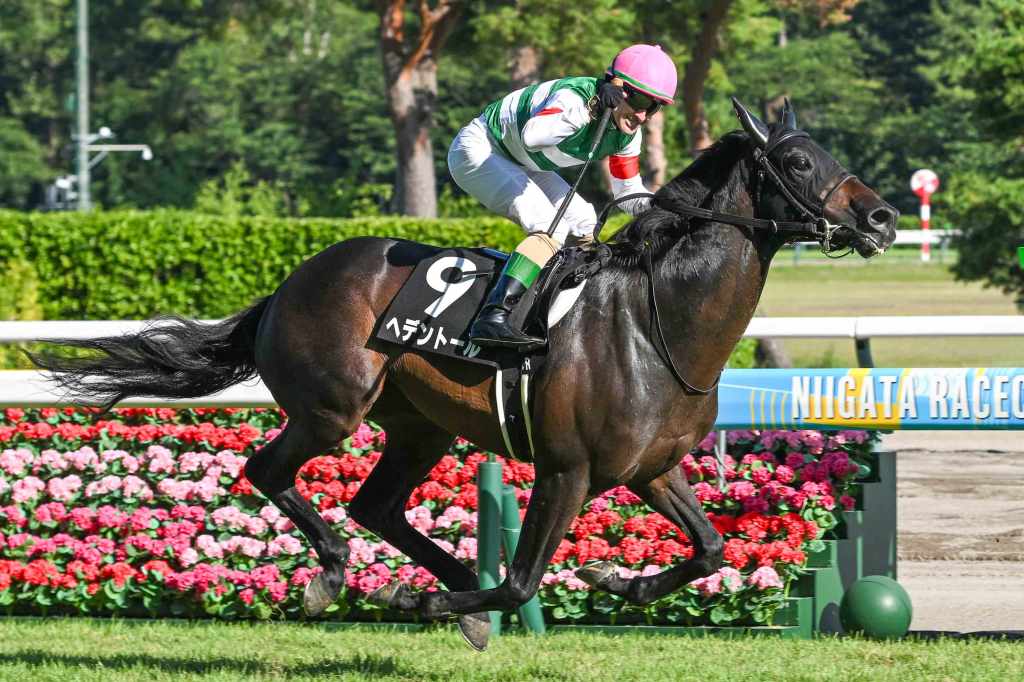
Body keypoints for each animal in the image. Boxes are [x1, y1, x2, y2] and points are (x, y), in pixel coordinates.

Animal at [32, 99, 897, 650]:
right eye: (797, 160)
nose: (883, 217)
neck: (657, 326)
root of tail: (287, 284)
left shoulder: (650, 468)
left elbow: (712, 550)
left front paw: (612, 579)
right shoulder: (566, 469)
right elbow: (520, 582)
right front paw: (433, 599)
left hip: (420, 427)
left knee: (375, 504)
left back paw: (428, 589)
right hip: (332, 409)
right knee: (269, 470)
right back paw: (340, 576)